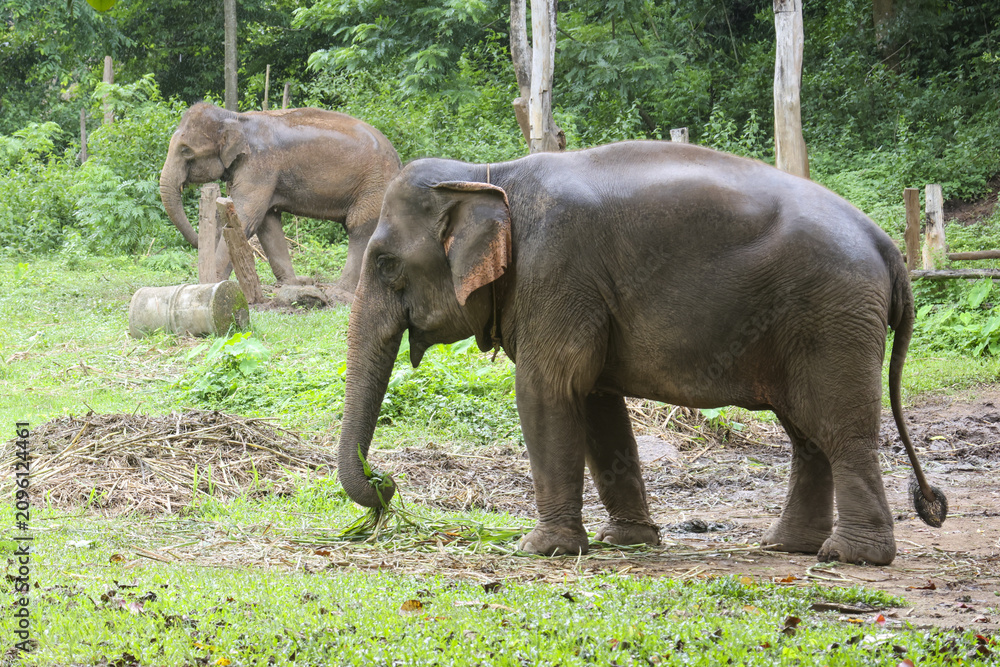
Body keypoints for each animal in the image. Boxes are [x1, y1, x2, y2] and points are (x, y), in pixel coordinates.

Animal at [159, 102, 401, 292]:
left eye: (186, 150)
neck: (236, 118)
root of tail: (397, 158)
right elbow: (267, 224)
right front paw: (292, 284)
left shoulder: (260, 166)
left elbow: (246, 218)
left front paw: (214, 284)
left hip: (374, 184)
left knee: (359, 227)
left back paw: (341, 291)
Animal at [337, 140, 947, 565]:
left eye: (386, 263)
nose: (386, 483)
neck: (488, 174)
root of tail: (885, 244)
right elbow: (595, 402)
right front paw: (626, 542)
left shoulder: (557, 272)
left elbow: (546, 390)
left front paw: (541, 549)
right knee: (805, 430)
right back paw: (785, 546)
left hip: (833, 315)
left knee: (840, 427)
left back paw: (850, 556)